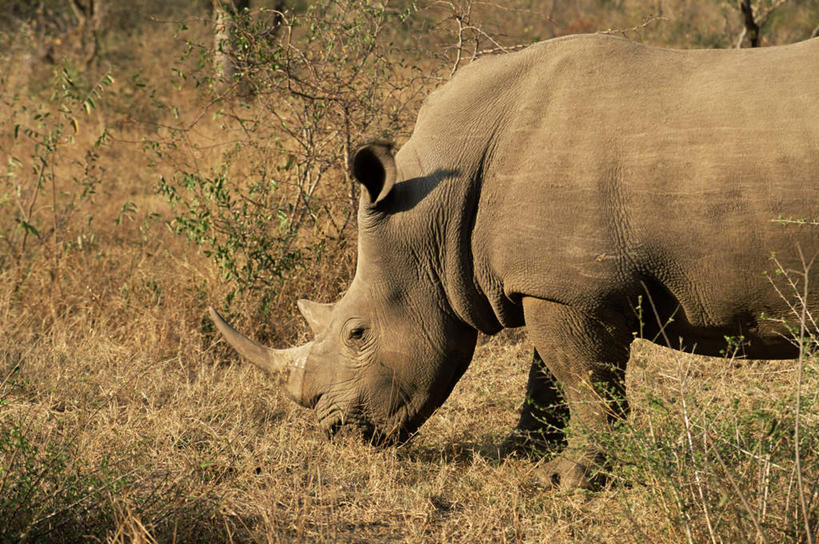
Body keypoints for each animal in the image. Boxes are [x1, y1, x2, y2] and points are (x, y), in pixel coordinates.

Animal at [213, 36, 819, 490]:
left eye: (357, 333)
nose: (334, 432)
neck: (432, 212)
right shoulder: (553, 283)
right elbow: (547, 376)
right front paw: (520, 456)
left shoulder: (572, 288)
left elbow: (585, 381)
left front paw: (568, 482)